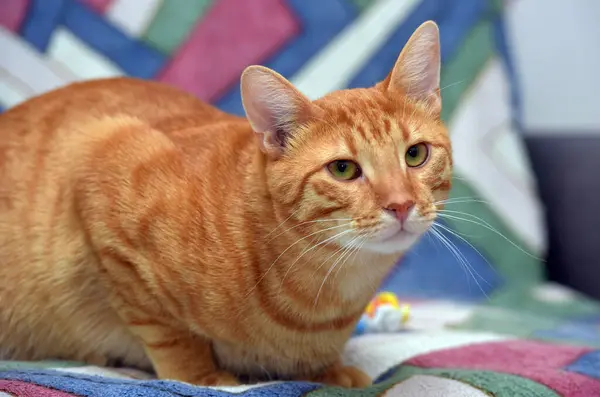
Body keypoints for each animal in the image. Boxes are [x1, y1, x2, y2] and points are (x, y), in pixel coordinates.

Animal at [0, 20, 450, 384]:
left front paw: (329, 371)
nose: (400, 204)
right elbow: (168, 333)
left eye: (415, 155)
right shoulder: (102, 161)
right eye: (343, 169)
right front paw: (201, 375)